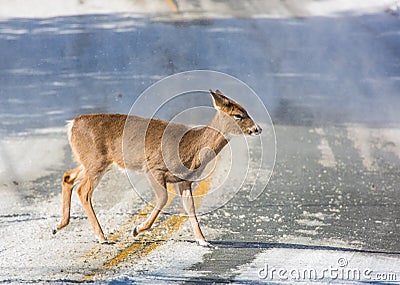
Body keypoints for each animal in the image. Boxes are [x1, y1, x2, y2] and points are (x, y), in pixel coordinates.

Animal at [54, 89, 262, 246]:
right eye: (238, 115)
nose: (257, 129)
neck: (193, 149)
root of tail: (71, 125)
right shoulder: (154, 169)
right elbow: (163, 199)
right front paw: (137, 229)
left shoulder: (184, 180)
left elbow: (190, 207)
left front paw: (203, 240)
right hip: (95, 161)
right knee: (83, 191)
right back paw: (101, 237)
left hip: (92, 162)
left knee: (68, 177)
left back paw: (59, 226)